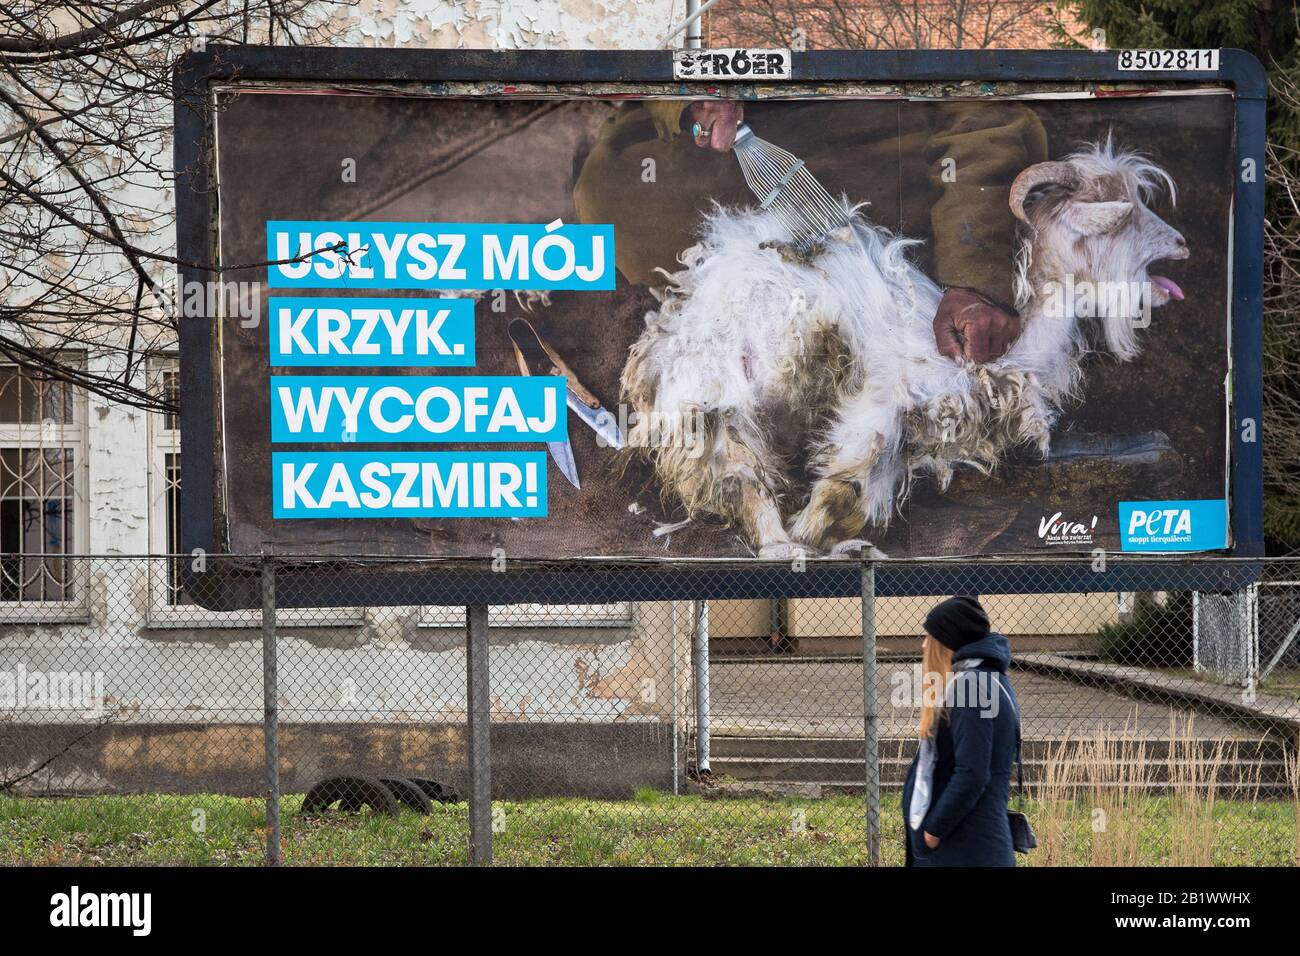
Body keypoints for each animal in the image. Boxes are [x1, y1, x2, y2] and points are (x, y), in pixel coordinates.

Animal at [624, 143, 1190, 561]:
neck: (1006, 356)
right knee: (742, 477)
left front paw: (842, 542)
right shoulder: (881, 405)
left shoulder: (903, 445)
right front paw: (810, 538)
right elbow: (840, 486)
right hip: (715, 395)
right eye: (1122, 215)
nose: (1182, 244)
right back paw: (780, 546)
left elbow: (860, 498)